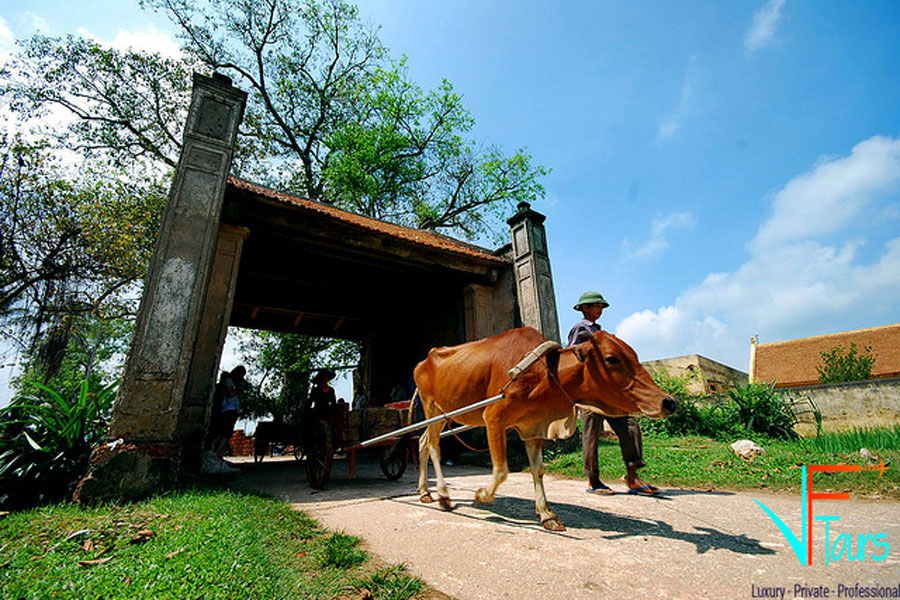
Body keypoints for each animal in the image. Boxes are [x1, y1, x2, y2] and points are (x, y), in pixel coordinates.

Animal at [414, 328, 676, 528]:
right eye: (612, 358)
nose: (669, 402)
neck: (546, 373)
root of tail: (423, 361)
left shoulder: (534, 427)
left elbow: (537, 470)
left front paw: (546, 514)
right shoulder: (494, 418)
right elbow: (501, 471)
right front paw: (482, 494)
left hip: (442, 414)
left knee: (422, 441)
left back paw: (425, 492)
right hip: (432, 408)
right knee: (434, 446)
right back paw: (443, 494)